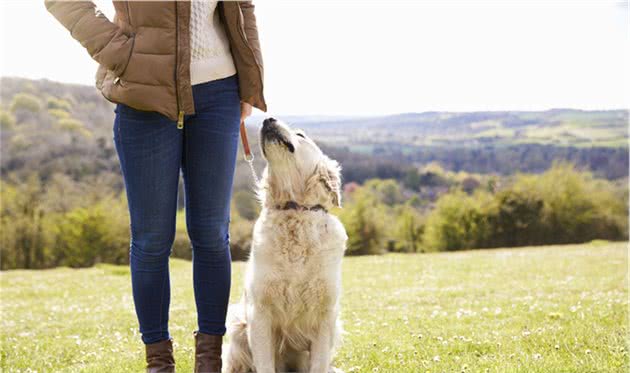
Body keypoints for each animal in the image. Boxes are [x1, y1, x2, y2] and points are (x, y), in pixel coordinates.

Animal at [223, 117, 350, 372]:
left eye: (300, 135)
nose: (267, 119)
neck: (294, 210)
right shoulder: (259, 313)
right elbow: (264, 364)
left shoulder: (325, 316)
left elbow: (319, 364)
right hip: (237, 326)